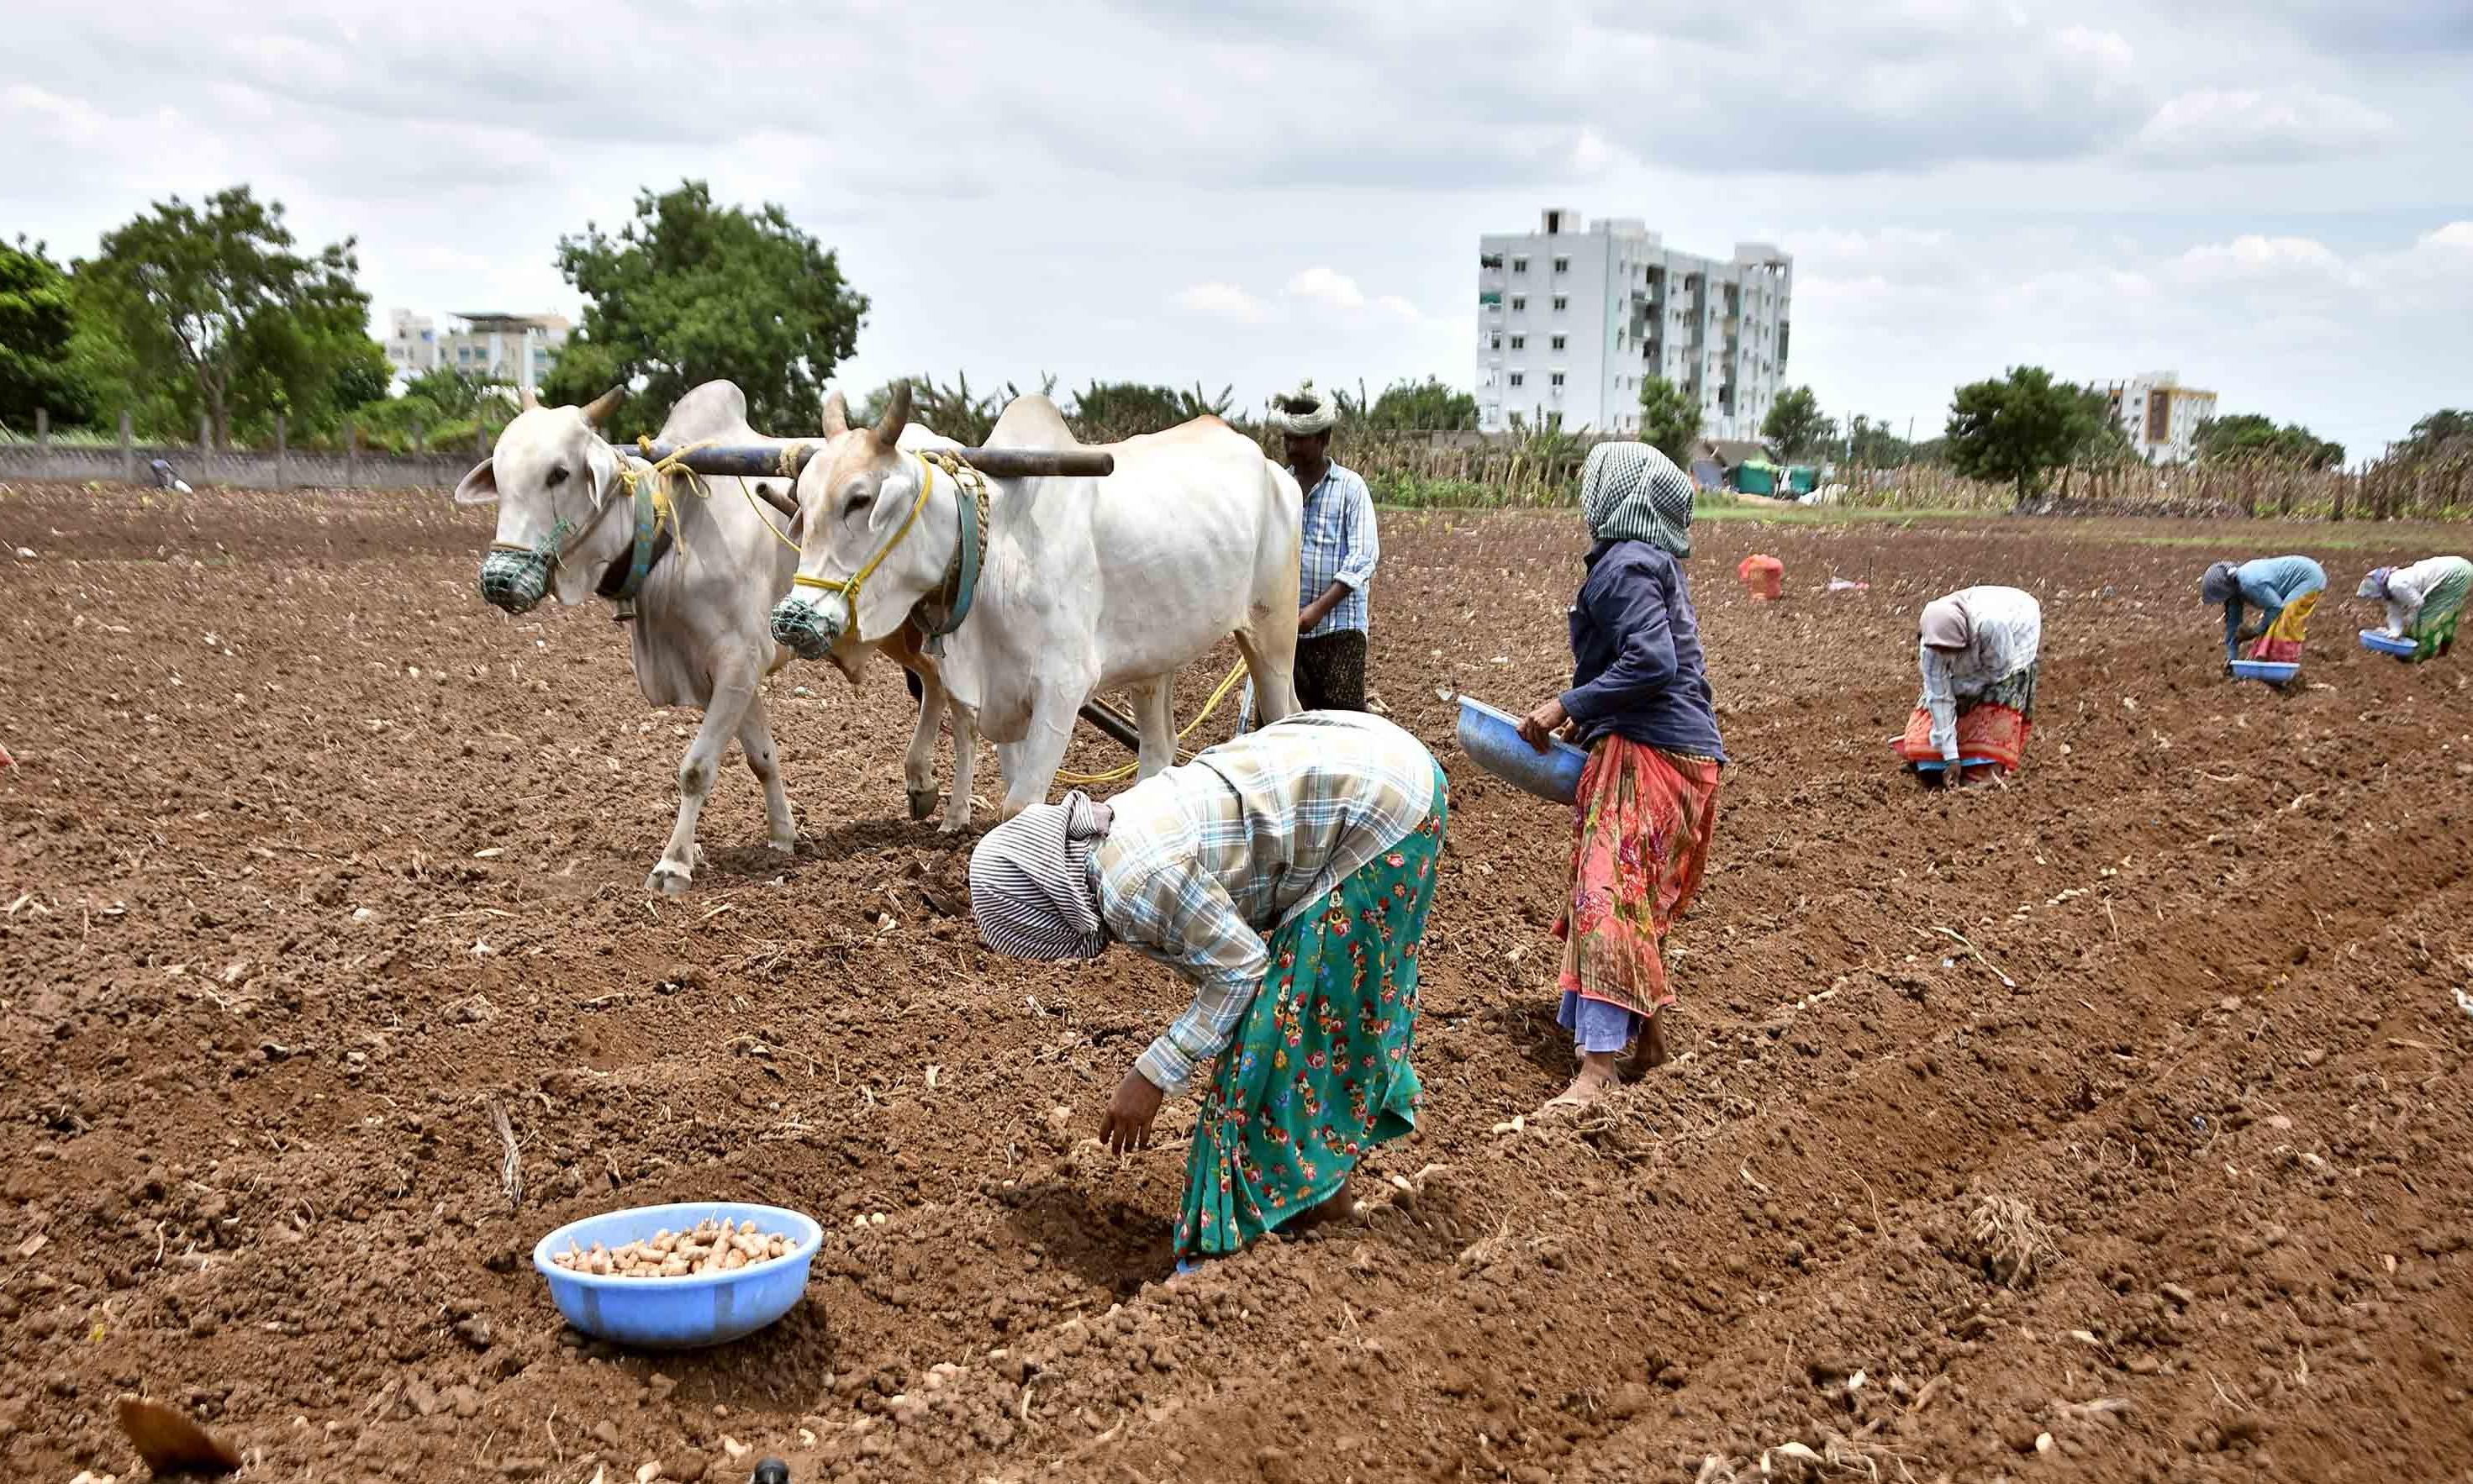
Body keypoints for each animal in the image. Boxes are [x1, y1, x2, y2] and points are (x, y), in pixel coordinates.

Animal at [460, 383, 969, 890]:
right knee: (933, 683)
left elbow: (696, 768)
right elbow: (762, 758)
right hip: (898, 633)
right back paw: (921, 783)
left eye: (558, 474)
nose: (499, 579)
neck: (676, 536)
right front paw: (782, 837)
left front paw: (674, 863)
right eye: (501, 475)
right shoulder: (722, 677)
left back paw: (957, 814)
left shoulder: (738, 662)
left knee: (961, 707)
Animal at [771, 386, 1316, 821]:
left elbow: (1018, 807)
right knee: (1160, 751)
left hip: (1272, 632)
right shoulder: (1002, 696)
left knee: (1287, 715)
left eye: (859, 499)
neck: (997, 551)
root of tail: (1275, 470)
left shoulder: (1063, 687)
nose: (795, 618)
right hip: (1155, 661)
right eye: (806, 498)